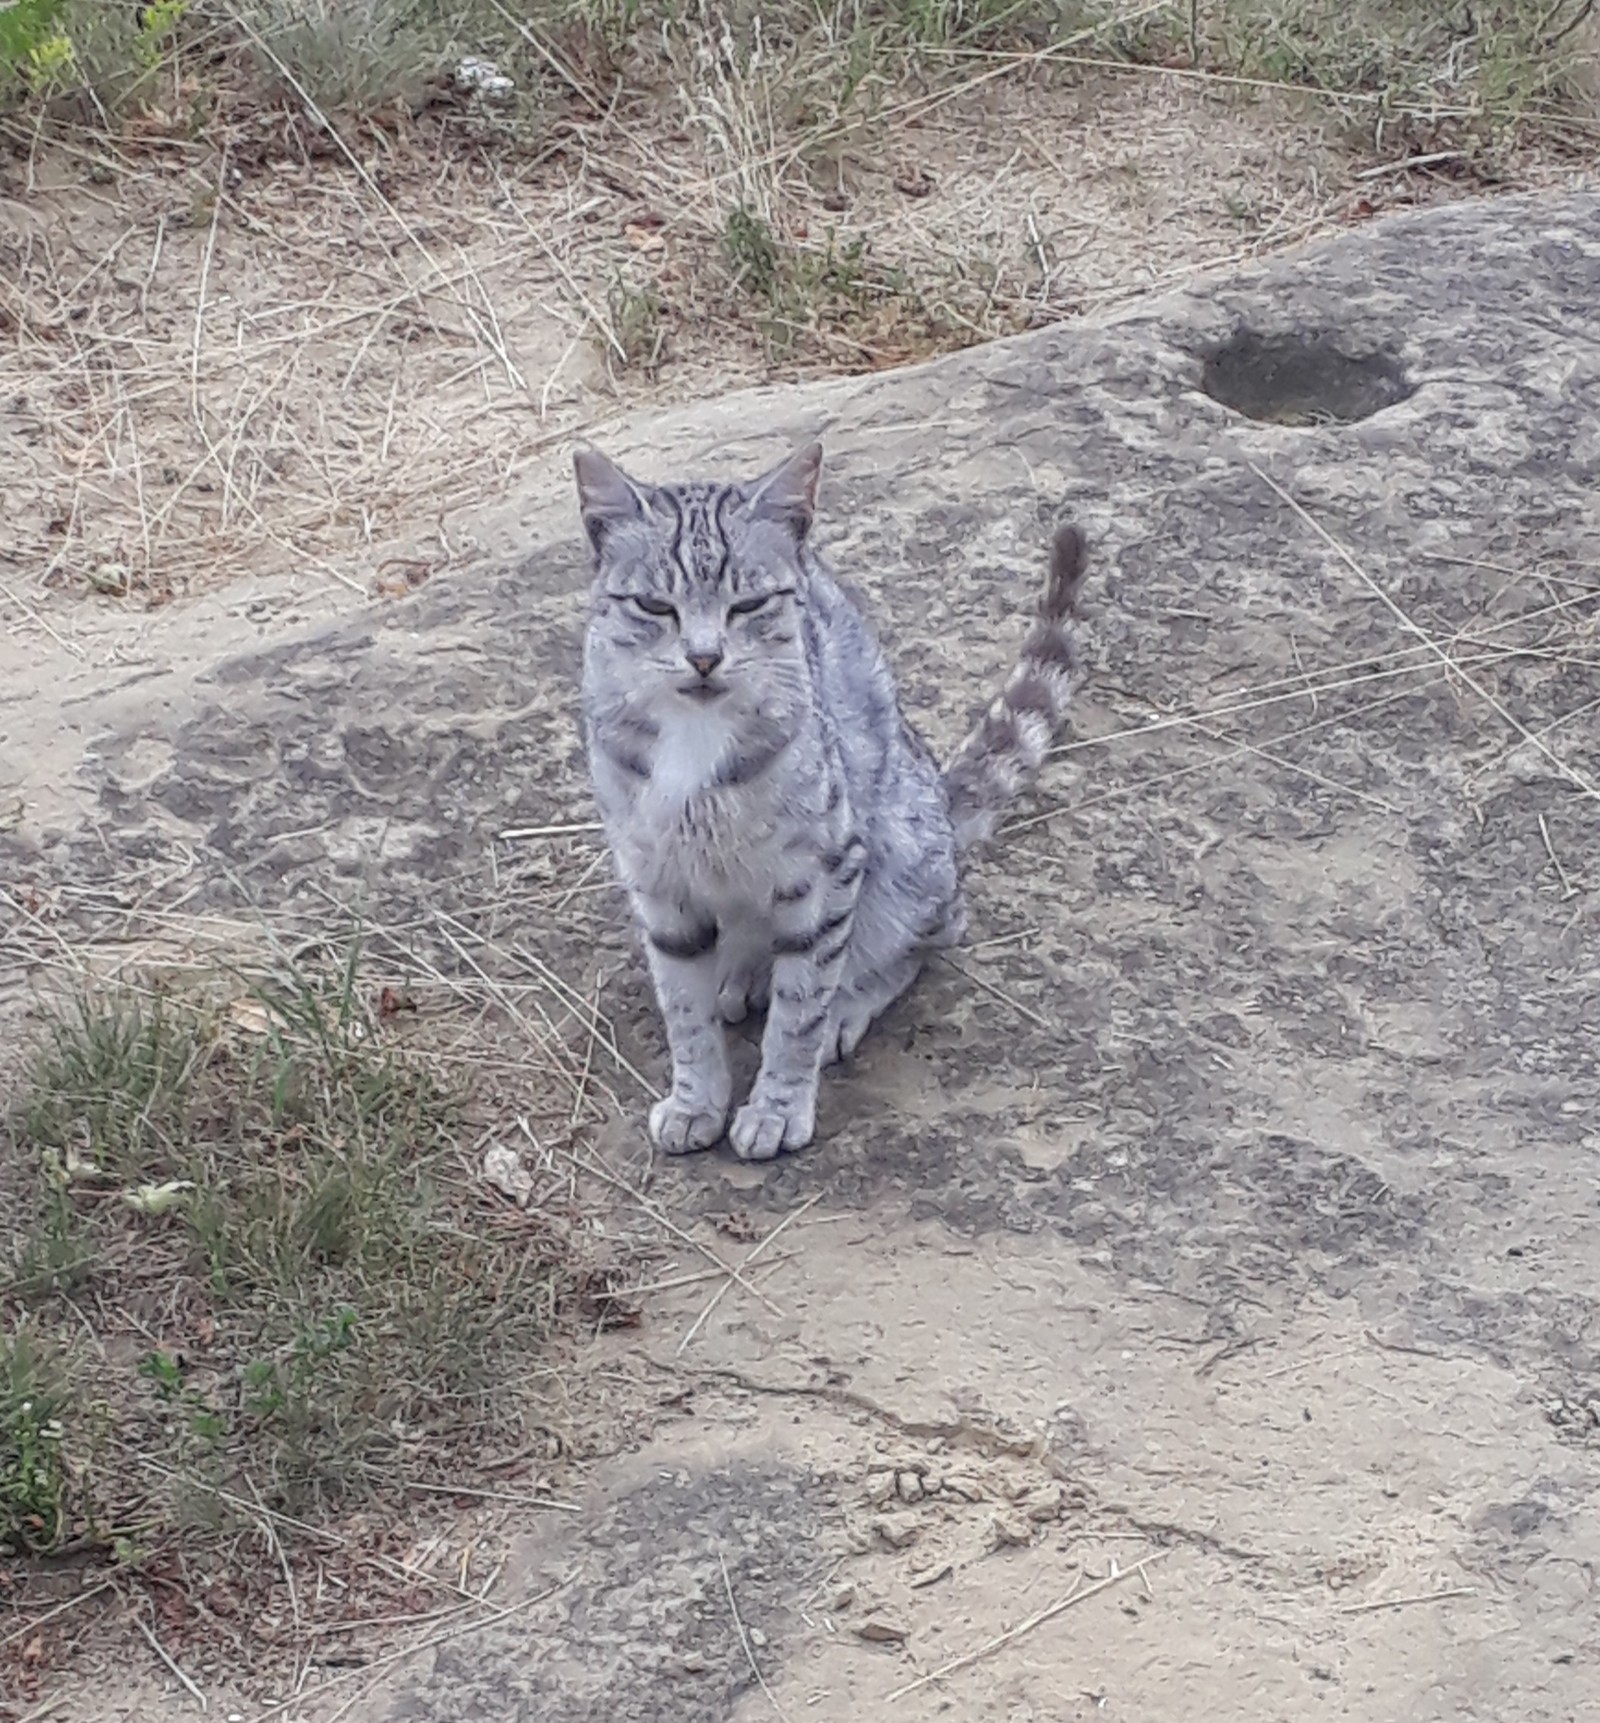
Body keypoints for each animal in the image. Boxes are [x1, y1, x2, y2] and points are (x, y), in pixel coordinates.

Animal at [575, 437, 1088, 1164]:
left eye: (748, 605)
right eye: (653, 606)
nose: (704, 658)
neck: (694, 741)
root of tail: (938, 796)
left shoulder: (824, 867)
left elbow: (800, 1006)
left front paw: (777, 1106)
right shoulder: (656, 880)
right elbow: (685, 1012)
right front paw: (696, 1100)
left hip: (902, 856)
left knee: (927, 935)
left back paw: (845, 1002)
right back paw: (740, 975)